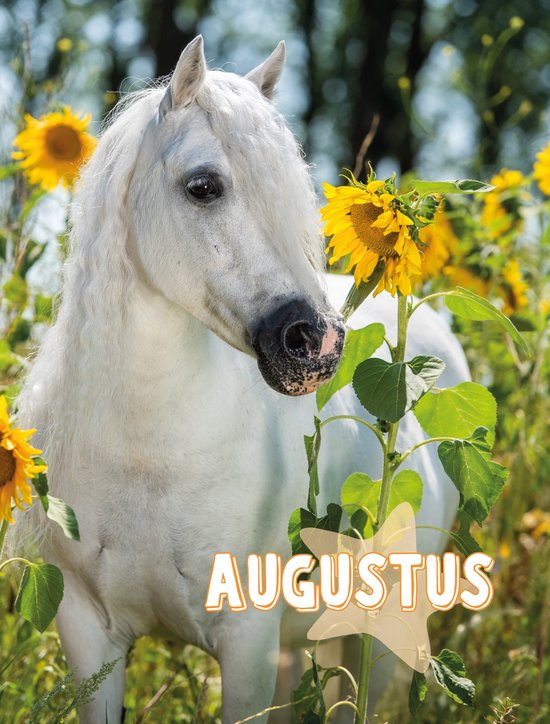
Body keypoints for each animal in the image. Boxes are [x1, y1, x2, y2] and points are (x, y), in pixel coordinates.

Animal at [13, 36, 468, 723]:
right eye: (203, 187)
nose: (318, 343)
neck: (145, 457)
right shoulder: (90, 635)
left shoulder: (246, 643)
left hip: (383, 638)